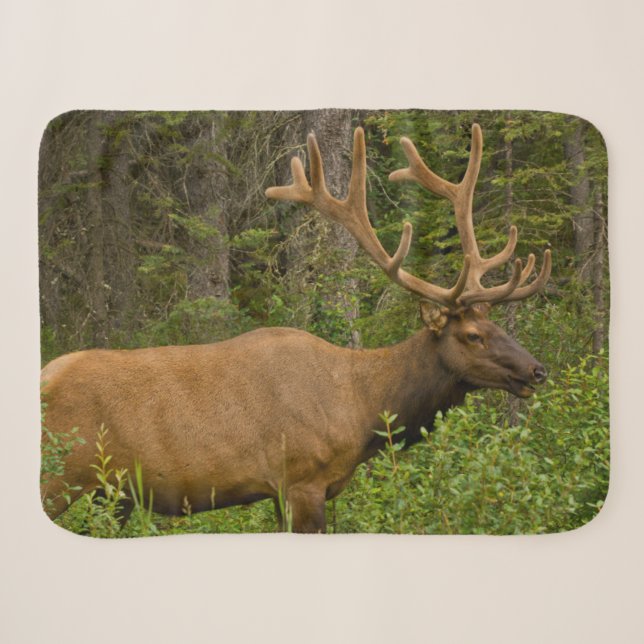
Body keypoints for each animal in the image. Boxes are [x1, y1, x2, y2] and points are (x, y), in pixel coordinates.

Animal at [40, 123, 551, 534]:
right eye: (473, 336)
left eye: (493, 325)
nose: (537, 370)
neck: (362, 408)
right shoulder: (301, 479)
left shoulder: (283, 491)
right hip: (58, 475)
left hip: (108, 492)